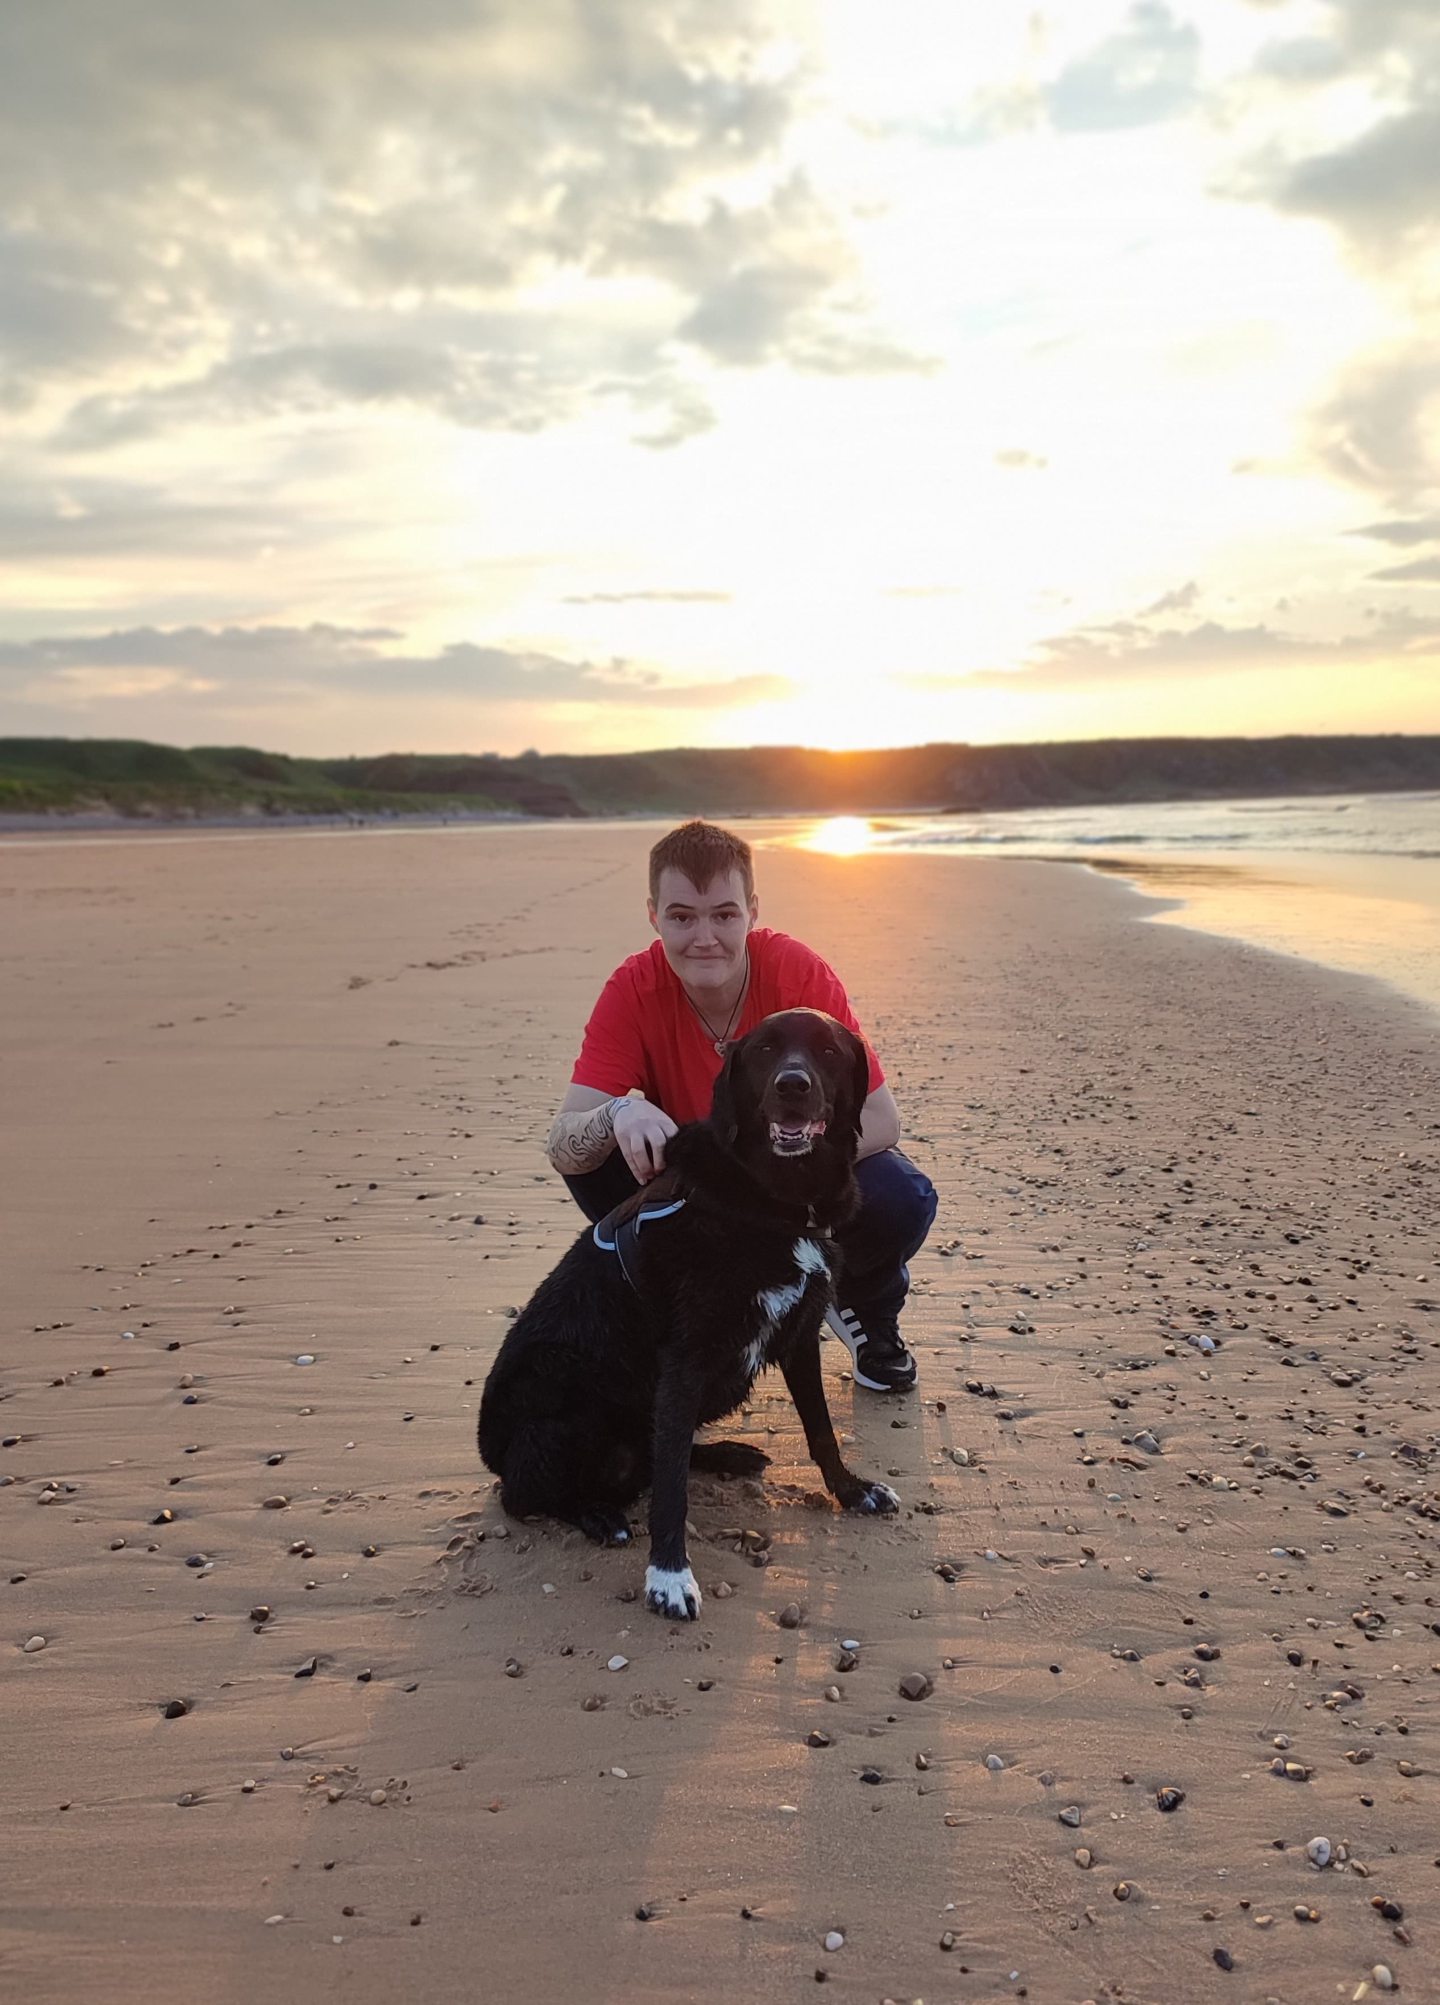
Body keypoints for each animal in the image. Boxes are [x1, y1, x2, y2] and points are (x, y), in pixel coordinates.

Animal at [473, 1010, 902, 1620]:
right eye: (766, 1049)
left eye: (828, 1050)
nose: (792, 1086)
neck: (777, 1197)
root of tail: (493, 1451)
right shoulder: (685, 1360)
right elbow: (671, 1485)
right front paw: (669, 1575)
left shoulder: (799, 1339)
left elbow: (821, 1431)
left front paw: (852, 1491)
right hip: (560, 1395)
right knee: (530, 1494)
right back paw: (598, 1515)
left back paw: (727, 1455)